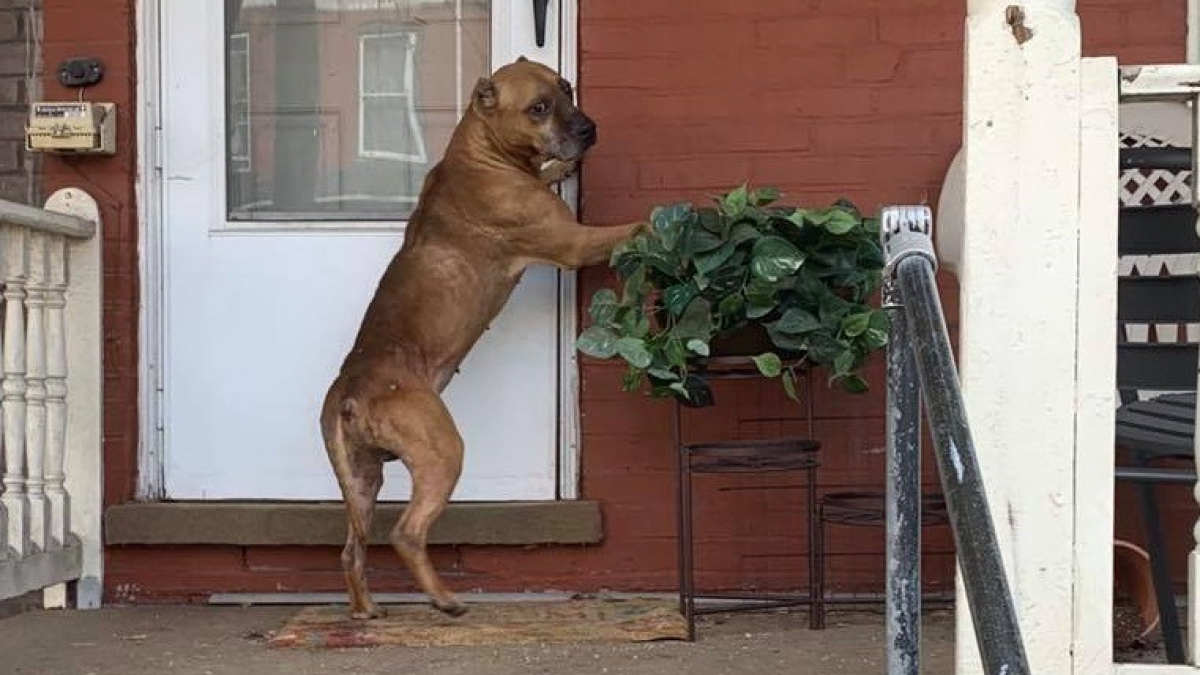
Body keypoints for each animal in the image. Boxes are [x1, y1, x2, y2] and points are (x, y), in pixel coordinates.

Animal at [316, 59, 638, 619]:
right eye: (538, 107)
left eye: (568, 89)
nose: (588, 129)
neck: (482, 150)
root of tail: (350, 391)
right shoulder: (576, 243)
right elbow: (633, 228)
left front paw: (560, 170)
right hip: (441, 453)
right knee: (406, 533)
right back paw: (446, 601)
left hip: (361, 479)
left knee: (351, 549)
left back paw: (367, 611)